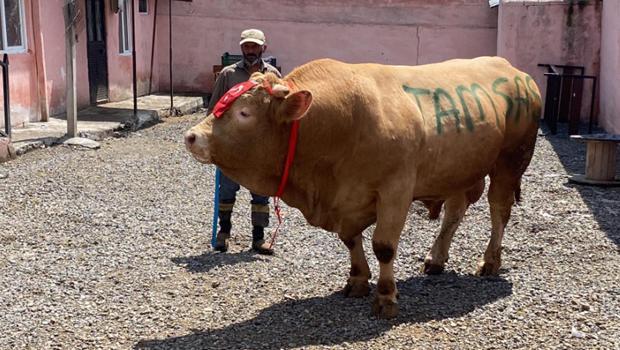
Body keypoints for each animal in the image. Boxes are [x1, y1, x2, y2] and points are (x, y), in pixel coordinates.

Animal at [185, 56, 544, 318]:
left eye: (244, 113)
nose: (192, 136)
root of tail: (513, 69)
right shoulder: (346, 200)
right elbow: (350, 240)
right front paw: (357, 280)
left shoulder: (396, 190)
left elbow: (383, 246)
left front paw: (386, 297)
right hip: (457, 168)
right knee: (455, 211)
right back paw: (436, 258)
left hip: (511, 160)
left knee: (499, 211)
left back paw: (490, 261)